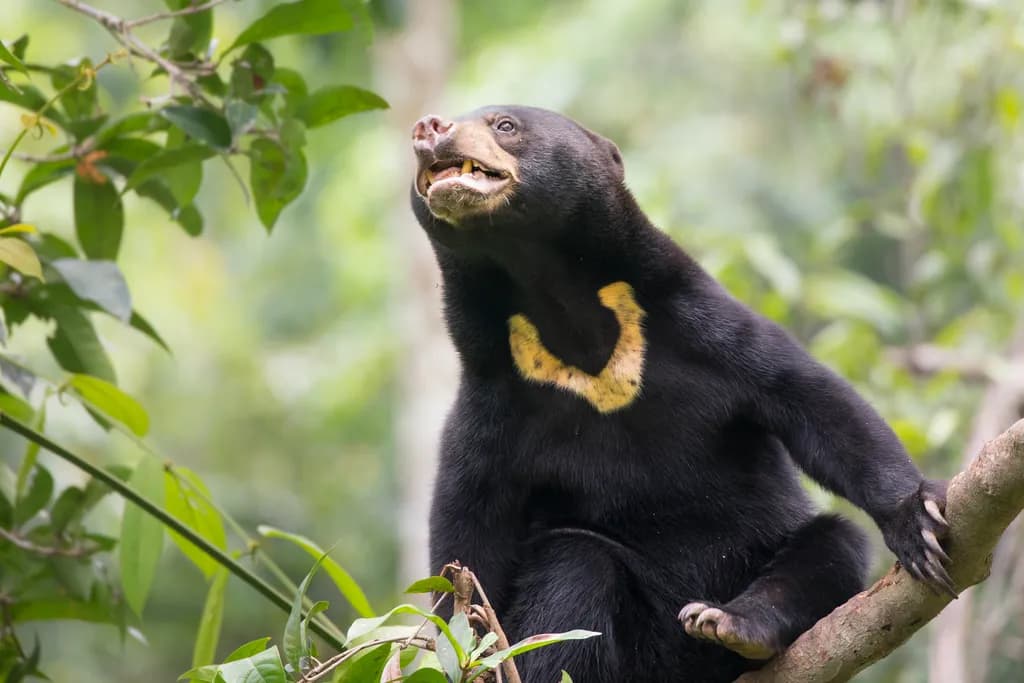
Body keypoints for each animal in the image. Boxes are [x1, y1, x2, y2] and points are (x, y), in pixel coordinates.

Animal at [409, 105, 952, 682]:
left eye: (504, 124)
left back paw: (729, 623)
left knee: (834, 543)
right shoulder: (493, 397)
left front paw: (917, 521)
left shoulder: (701, 328)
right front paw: (464, 648)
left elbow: (818, 405)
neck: (558, 306)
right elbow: (469, 526)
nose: (429, 127)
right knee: (575, 565)